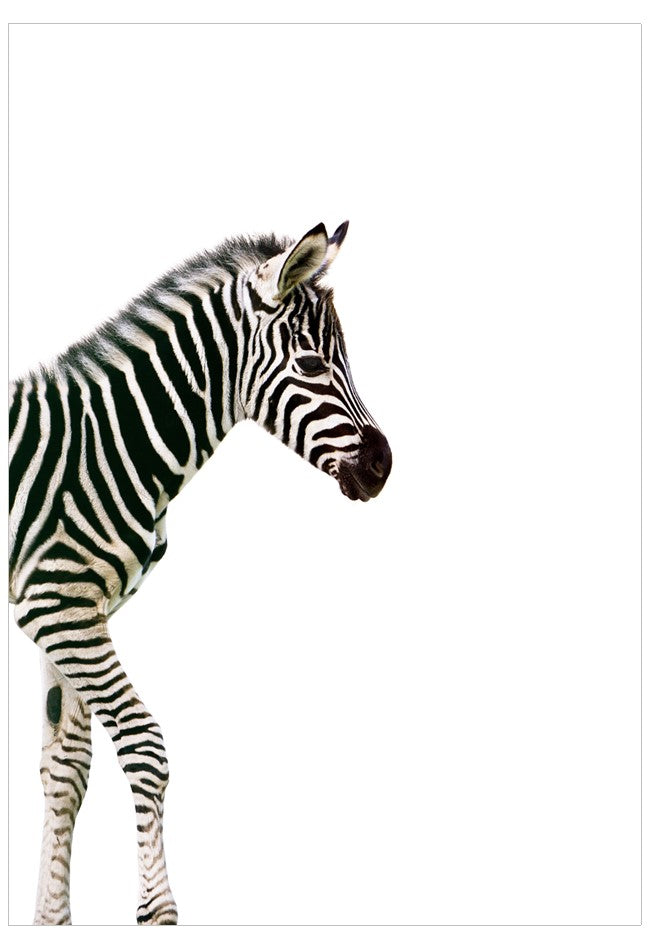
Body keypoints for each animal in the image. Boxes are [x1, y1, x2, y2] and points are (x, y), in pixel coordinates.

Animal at [9, 221, 392, 925]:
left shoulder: (73, 613)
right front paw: (158, 911)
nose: (384, 467)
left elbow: (66, 769)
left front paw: (51, 920)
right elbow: (144, 746)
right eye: (312, 366)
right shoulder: (59, 607)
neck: (108, 445)